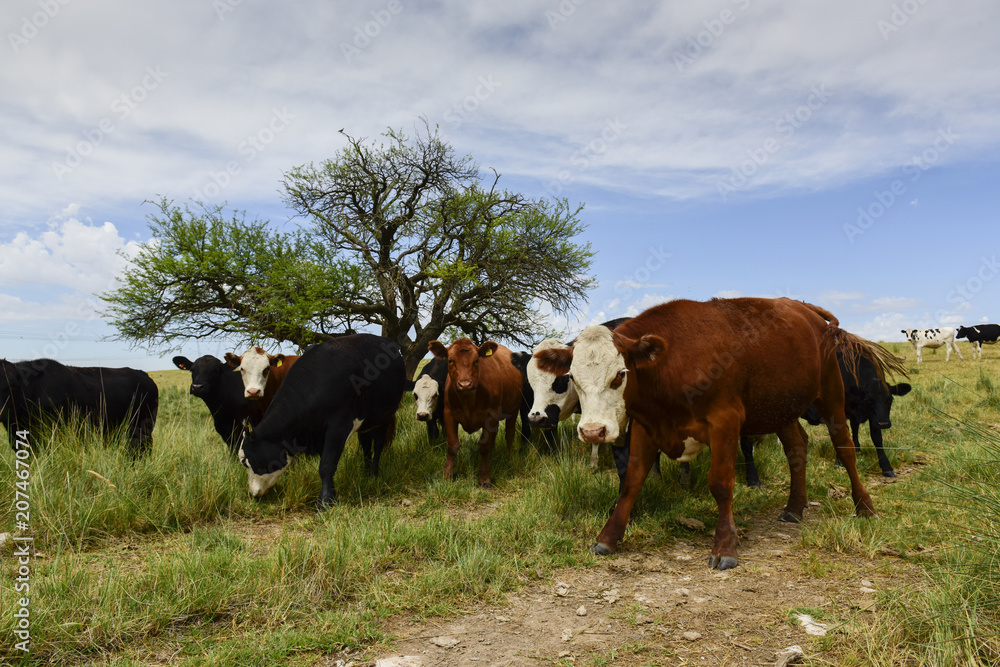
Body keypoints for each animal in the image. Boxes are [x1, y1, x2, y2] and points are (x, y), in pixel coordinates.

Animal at [237, 334, 406, 506]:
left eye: (244, 461)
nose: (253, 493)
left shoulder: (338, 427)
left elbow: (326, 466)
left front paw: (325, 502)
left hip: (384, 416)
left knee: (378, 444)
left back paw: (373, 473)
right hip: (366, 422)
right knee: (365, 444)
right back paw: (365, 472)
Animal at [428, 340, 524, 486]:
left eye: (477, 360)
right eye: (450, 360)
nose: (465, 384)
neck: (468, 401)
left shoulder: (491, 415)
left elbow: (483, 446)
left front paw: (484, 478)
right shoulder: (448, 415)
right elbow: (452, 445)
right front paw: (448, 475)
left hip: (513, 410)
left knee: (509, 434)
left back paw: (508, 456)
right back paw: (493, 454)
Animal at [540, 300, 908, 572]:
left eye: (620, 375)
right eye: (572, 377)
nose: (593, 431)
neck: (673, 363)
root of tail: (808, 311)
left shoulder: (725, 422)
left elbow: (720, 484)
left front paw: (725, 546)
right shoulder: (647, 426)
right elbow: (631, 482)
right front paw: (609, 536)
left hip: (831, 395)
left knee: (844, 448)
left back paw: (864, 506)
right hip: (781, 407)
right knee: (797, 448)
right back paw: (794, 507)